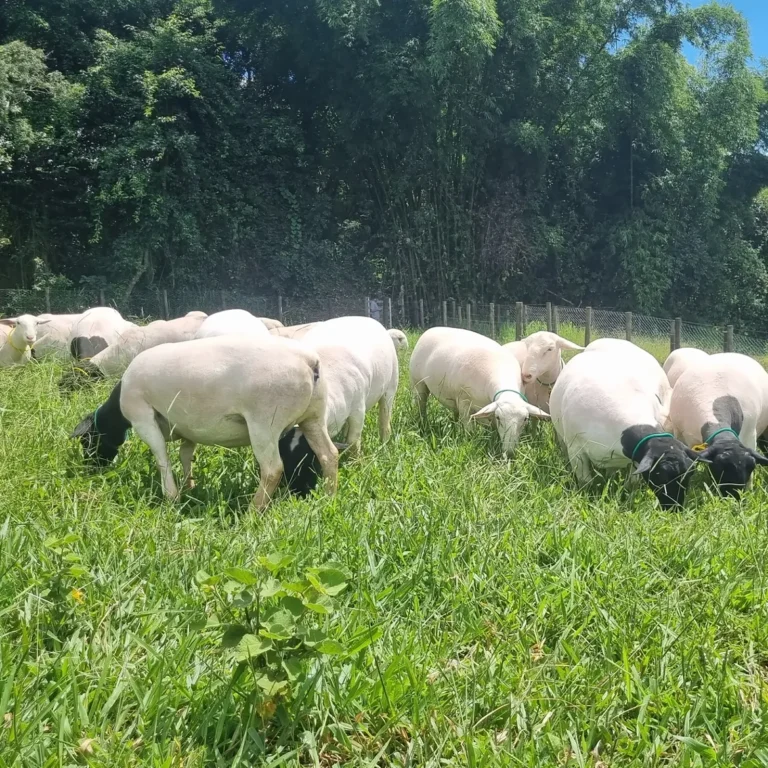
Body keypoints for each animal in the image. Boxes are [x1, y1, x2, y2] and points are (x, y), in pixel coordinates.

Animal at [71, 335, 339, 511]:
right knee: (329, 455)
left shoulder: (142, 417)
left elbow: (161, 457)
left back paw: (253, 511)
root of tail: (309, 362)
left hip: (265, 422)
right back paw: (329, 497)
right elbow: (185, 455)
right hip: (314, 416)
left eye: (87, 440)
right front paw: (189, 487)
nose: (91, 468)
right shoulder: (188, 428)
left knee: (272, 469)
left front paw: (172, 498)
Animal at [278, 316, 400, 494]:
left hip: (390, 387)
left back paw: (384, 445)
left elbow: (353, 442)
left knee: (385, 421)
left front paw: (355, 465)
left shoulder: (358, 410)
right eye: (284, 457)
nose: (297, 492)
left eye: (309, 457)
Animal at [409, 327, 549, 455]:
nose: (509, 453)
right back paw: (423, 424)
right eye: (499, 417)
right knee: (421, 405)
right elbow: (468, 427)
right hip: (418, 383)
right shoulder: (464, 400)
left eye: (525, 419)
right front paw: (469, 440)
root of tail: (431, 329)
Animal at [549, 338, 699, 508]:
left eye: (690, 474)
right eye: (661, 475)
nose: (675, 508)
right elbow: (585, 481)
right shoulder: (576, 450)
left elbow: (631, 483)